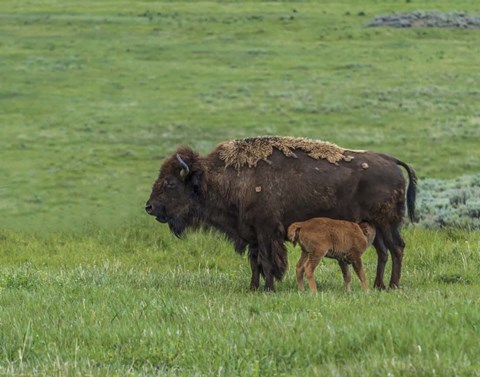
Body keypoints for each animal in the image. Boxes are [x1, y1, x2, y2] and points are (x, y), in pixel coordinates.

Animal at [143, 137, 416, 292]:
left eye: (170, 183)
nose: (149, 207)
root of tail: (391, 161)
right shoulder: (252, 233)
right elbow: (254, 263)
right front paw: (253, 288)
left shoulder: (266, 232)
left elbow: (267, 261)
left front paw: (269, 288)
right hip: (373, 225)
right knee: (383, 251)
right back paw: (379, 285)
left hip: (387, 223)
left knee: (396, 248)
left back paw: (392, 285)